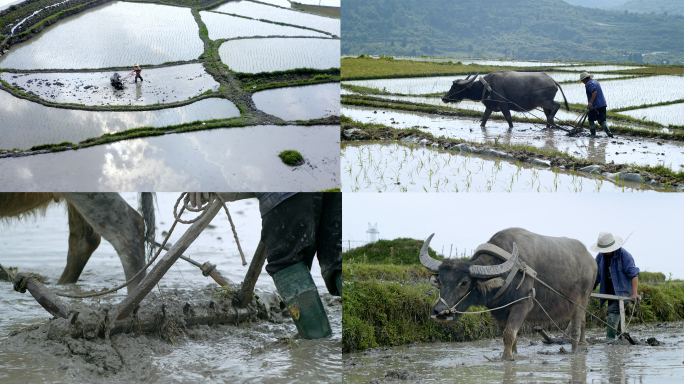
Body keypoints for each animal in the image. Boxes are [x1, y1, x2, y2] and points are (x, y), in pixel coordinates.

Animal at [422, 228, 600, 360]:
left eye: (464, 283)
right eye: (440, 281)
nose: (439, 312)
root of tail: (592, 262)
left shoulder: (522, 305)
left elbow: (509, 333)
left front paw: (506, 358)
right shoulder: (500, 311)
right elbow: (509, 335)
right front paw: (513, 354)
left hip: (582, 299)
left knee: (576, 325)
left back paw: (575, 350)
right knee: (583, 321)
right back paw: (583, 345)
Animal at [440, 70, 568, 128]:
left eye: (454, 87)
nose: (444, 98)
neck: (487, 87)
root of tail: (552, 80)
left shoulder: (504, 106)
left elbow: (509, 120)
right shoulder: (489, 107)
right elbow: (484, 119)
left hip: (543, 101)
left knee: (556, 106)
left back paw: (551, 123)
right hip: (544, 104)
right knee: (549, 114)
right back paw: (549, 126)